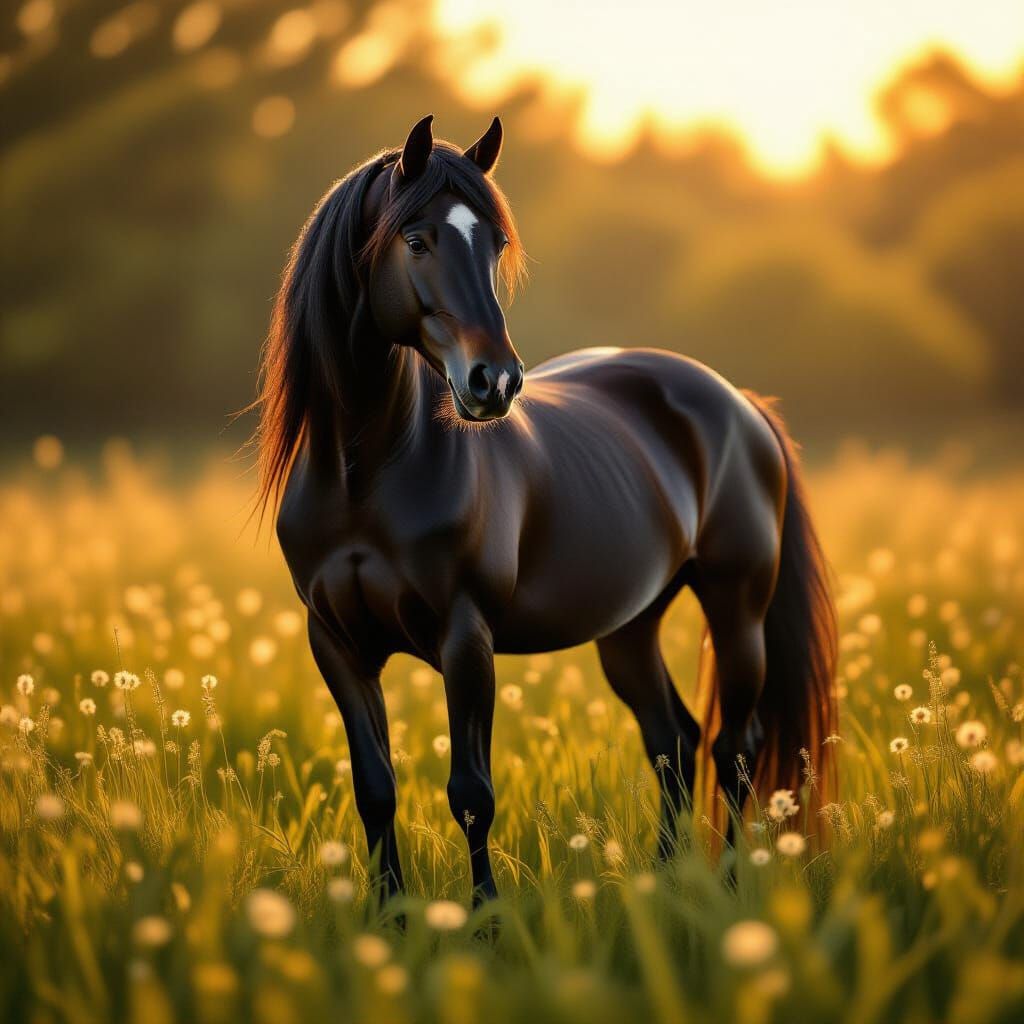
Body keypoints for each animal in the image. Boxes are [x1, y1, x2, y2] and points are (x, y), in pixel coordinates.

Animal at [254, 114, 837, 903]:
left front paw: (485, 916)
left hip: (736, 608)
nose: (494, 382)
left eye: (495, 244)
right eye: (416, 240)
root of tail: (738, 402)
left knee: (734, 749)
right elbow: (374, 788)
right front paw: (391, 915)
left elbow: (471, 793)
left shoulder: (465, 639)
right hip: (630, 627)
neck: (364, 477)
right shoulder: (337, 644)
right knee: (674, 742)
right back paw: (663, 885)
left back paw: (727, 889)